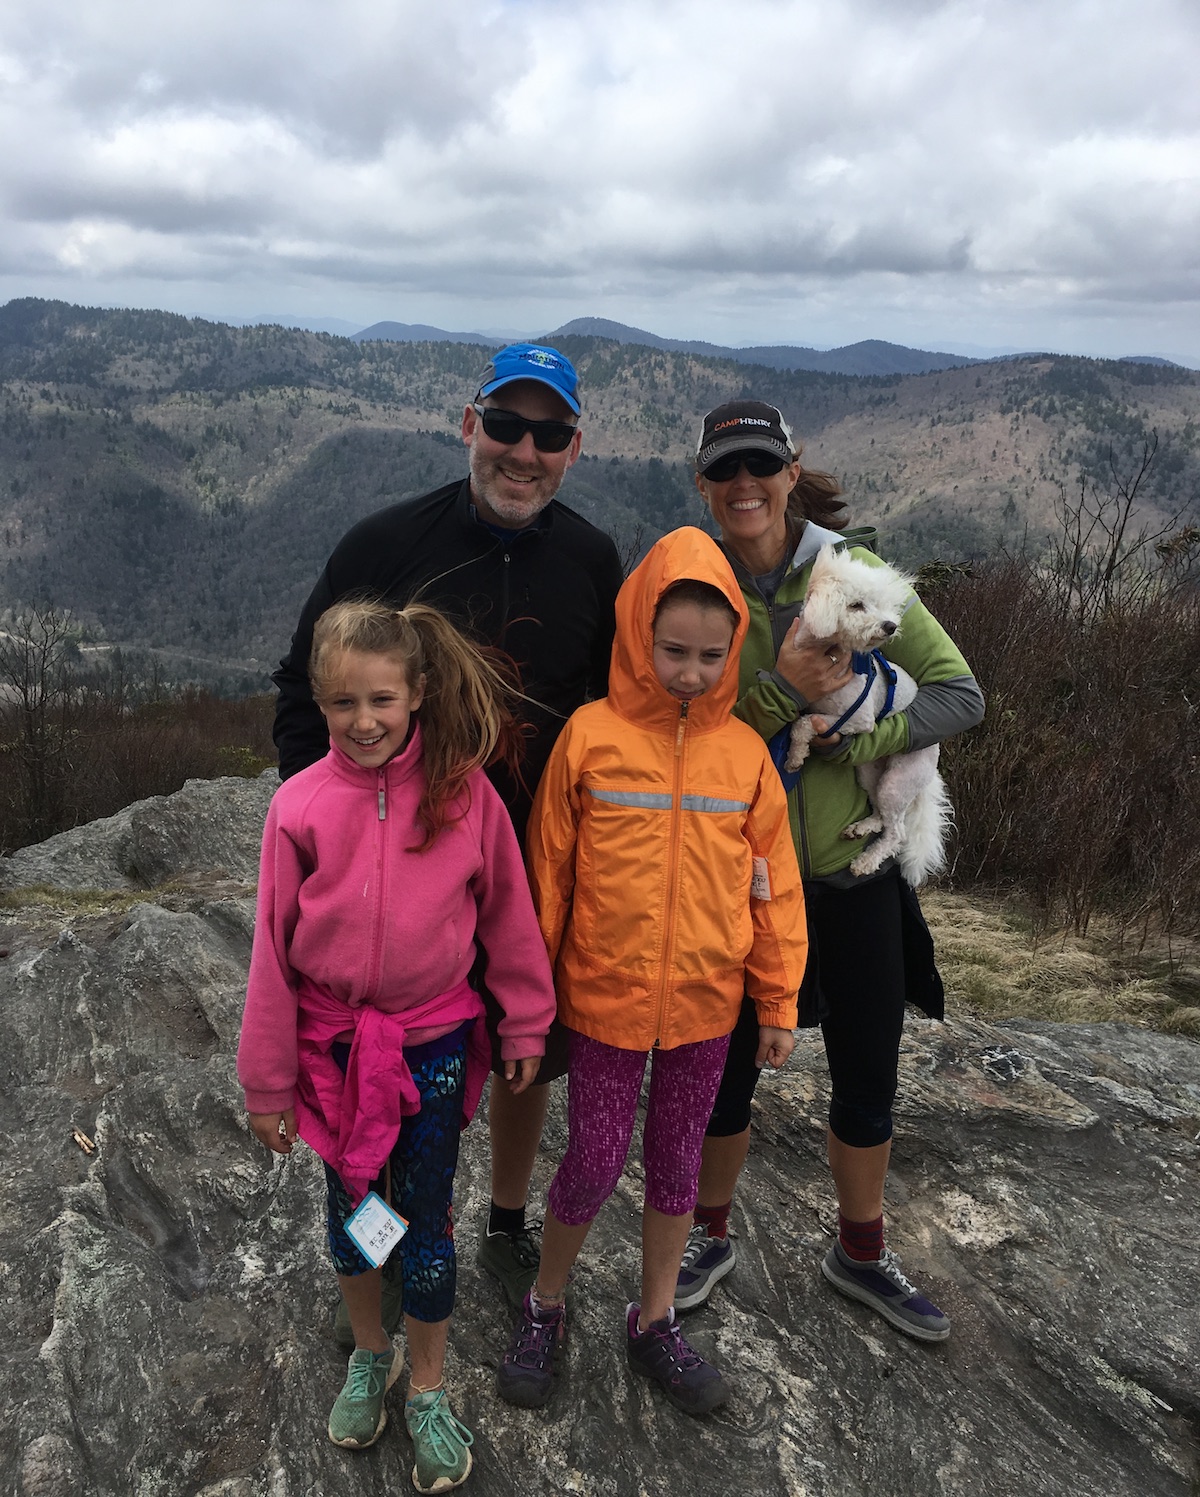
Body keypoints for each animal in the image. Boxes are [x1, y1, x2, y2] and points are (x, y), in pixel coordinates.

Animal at [778, 547, 951, 880]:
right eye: (856, 605)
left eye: (880, 604)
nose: (890, 626)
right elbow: (796, 724)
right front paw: (795, 755)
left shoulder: (857, 720)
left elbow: (803, 724)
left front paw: (795, 756)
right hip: (869, 772)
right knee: (882, 816)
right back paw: (862, 828)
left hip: (898, 781)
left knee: (897, 831)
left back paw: (867, 862)